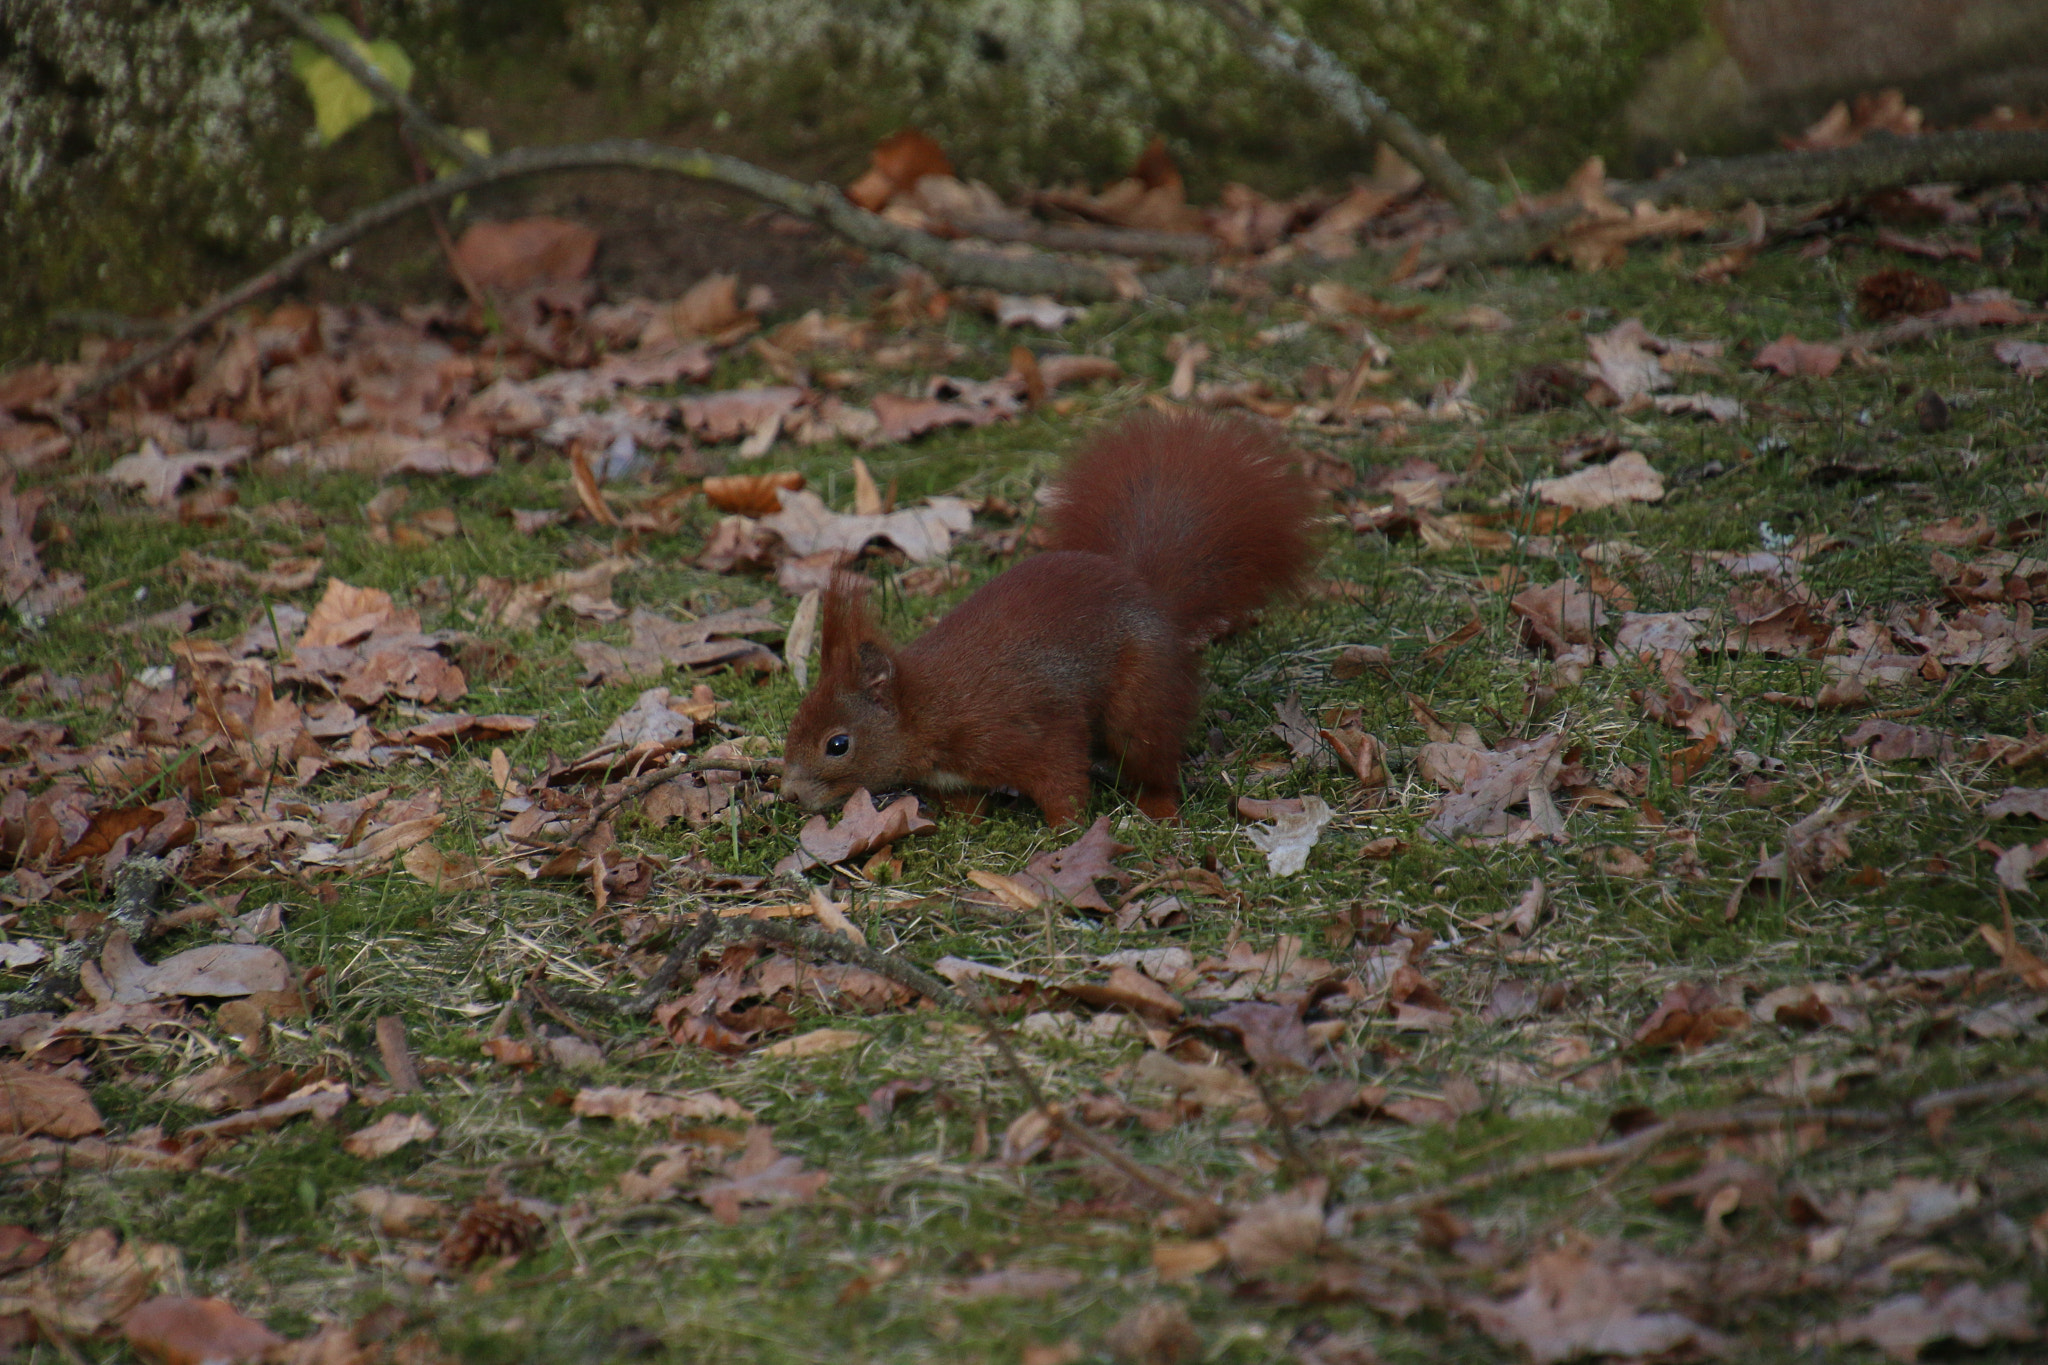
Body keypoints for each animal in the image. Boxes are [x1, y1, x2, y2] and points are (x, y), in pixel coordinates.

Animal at [774, 411, 1318, 822]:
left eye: (838, 744)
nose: (790, 794)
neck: (930, 708)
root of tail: (1151, 595)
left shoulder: (1030, 732)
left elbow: (1061, 780)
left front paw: (1064, 831)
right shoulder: (952, 774)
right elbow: (965, 800)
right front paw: (966, 826)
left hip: (1142, 696)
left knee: (1151, 753)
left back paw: (1158, 806)